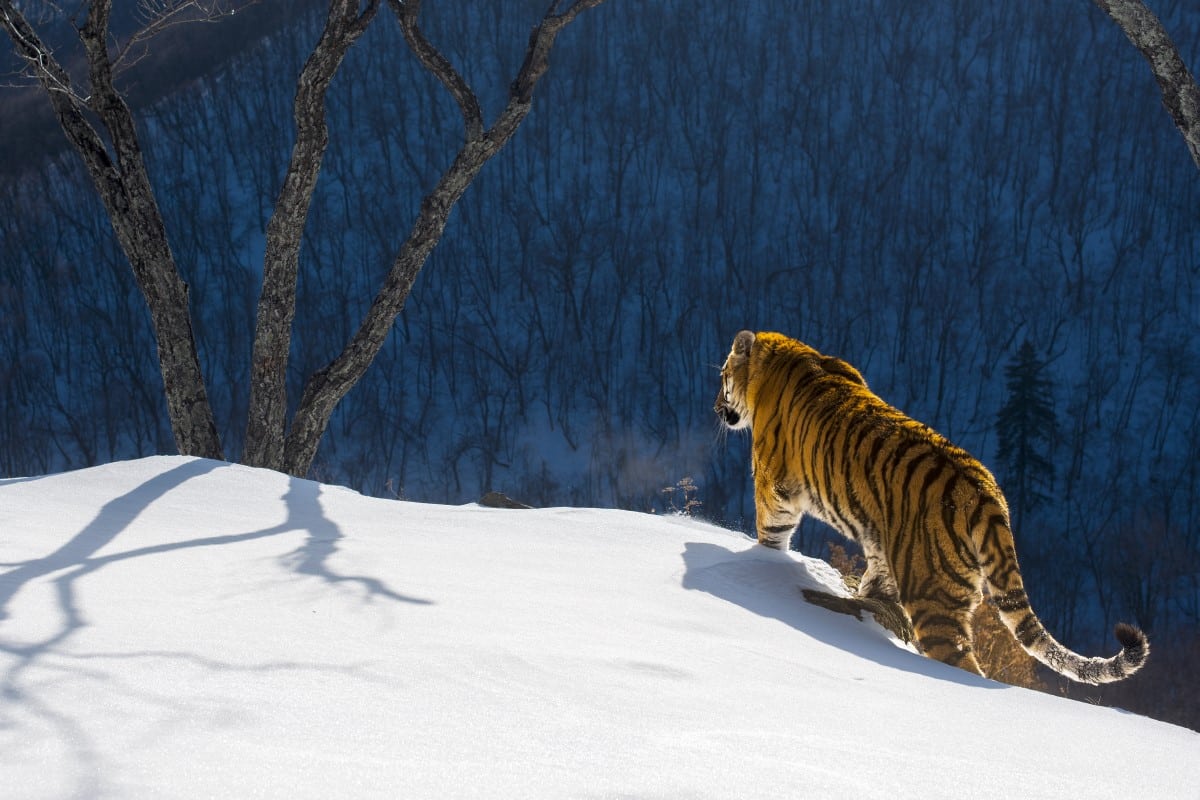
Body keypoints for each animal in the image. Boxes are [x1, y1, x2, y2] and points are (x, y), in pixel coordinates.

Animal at [715, 328, 1147, 686]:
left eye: (722, 376)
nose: (717, 406)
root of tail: (985, 490)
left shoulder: (774, 485)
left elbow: (772, 533)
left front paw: (763, 561)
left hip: (934, 597)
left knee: (962, 662)